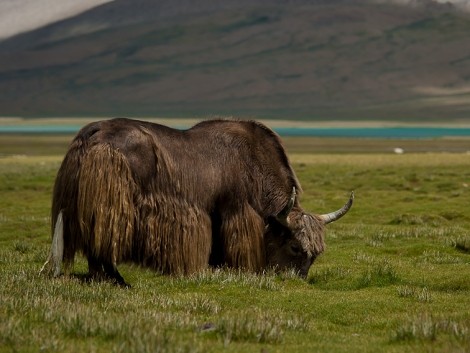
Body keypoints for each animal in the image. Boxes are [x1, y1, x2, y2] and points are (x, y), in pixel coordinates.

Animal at [41, 117, 352, 284]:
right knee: (102, 240)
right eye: (295, 247)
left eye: (316, 254)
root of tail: (90, 134)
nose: (296, 281)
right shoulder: (236, 210)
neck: (252, 164)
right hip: (112, 203)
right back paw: (117, 280)